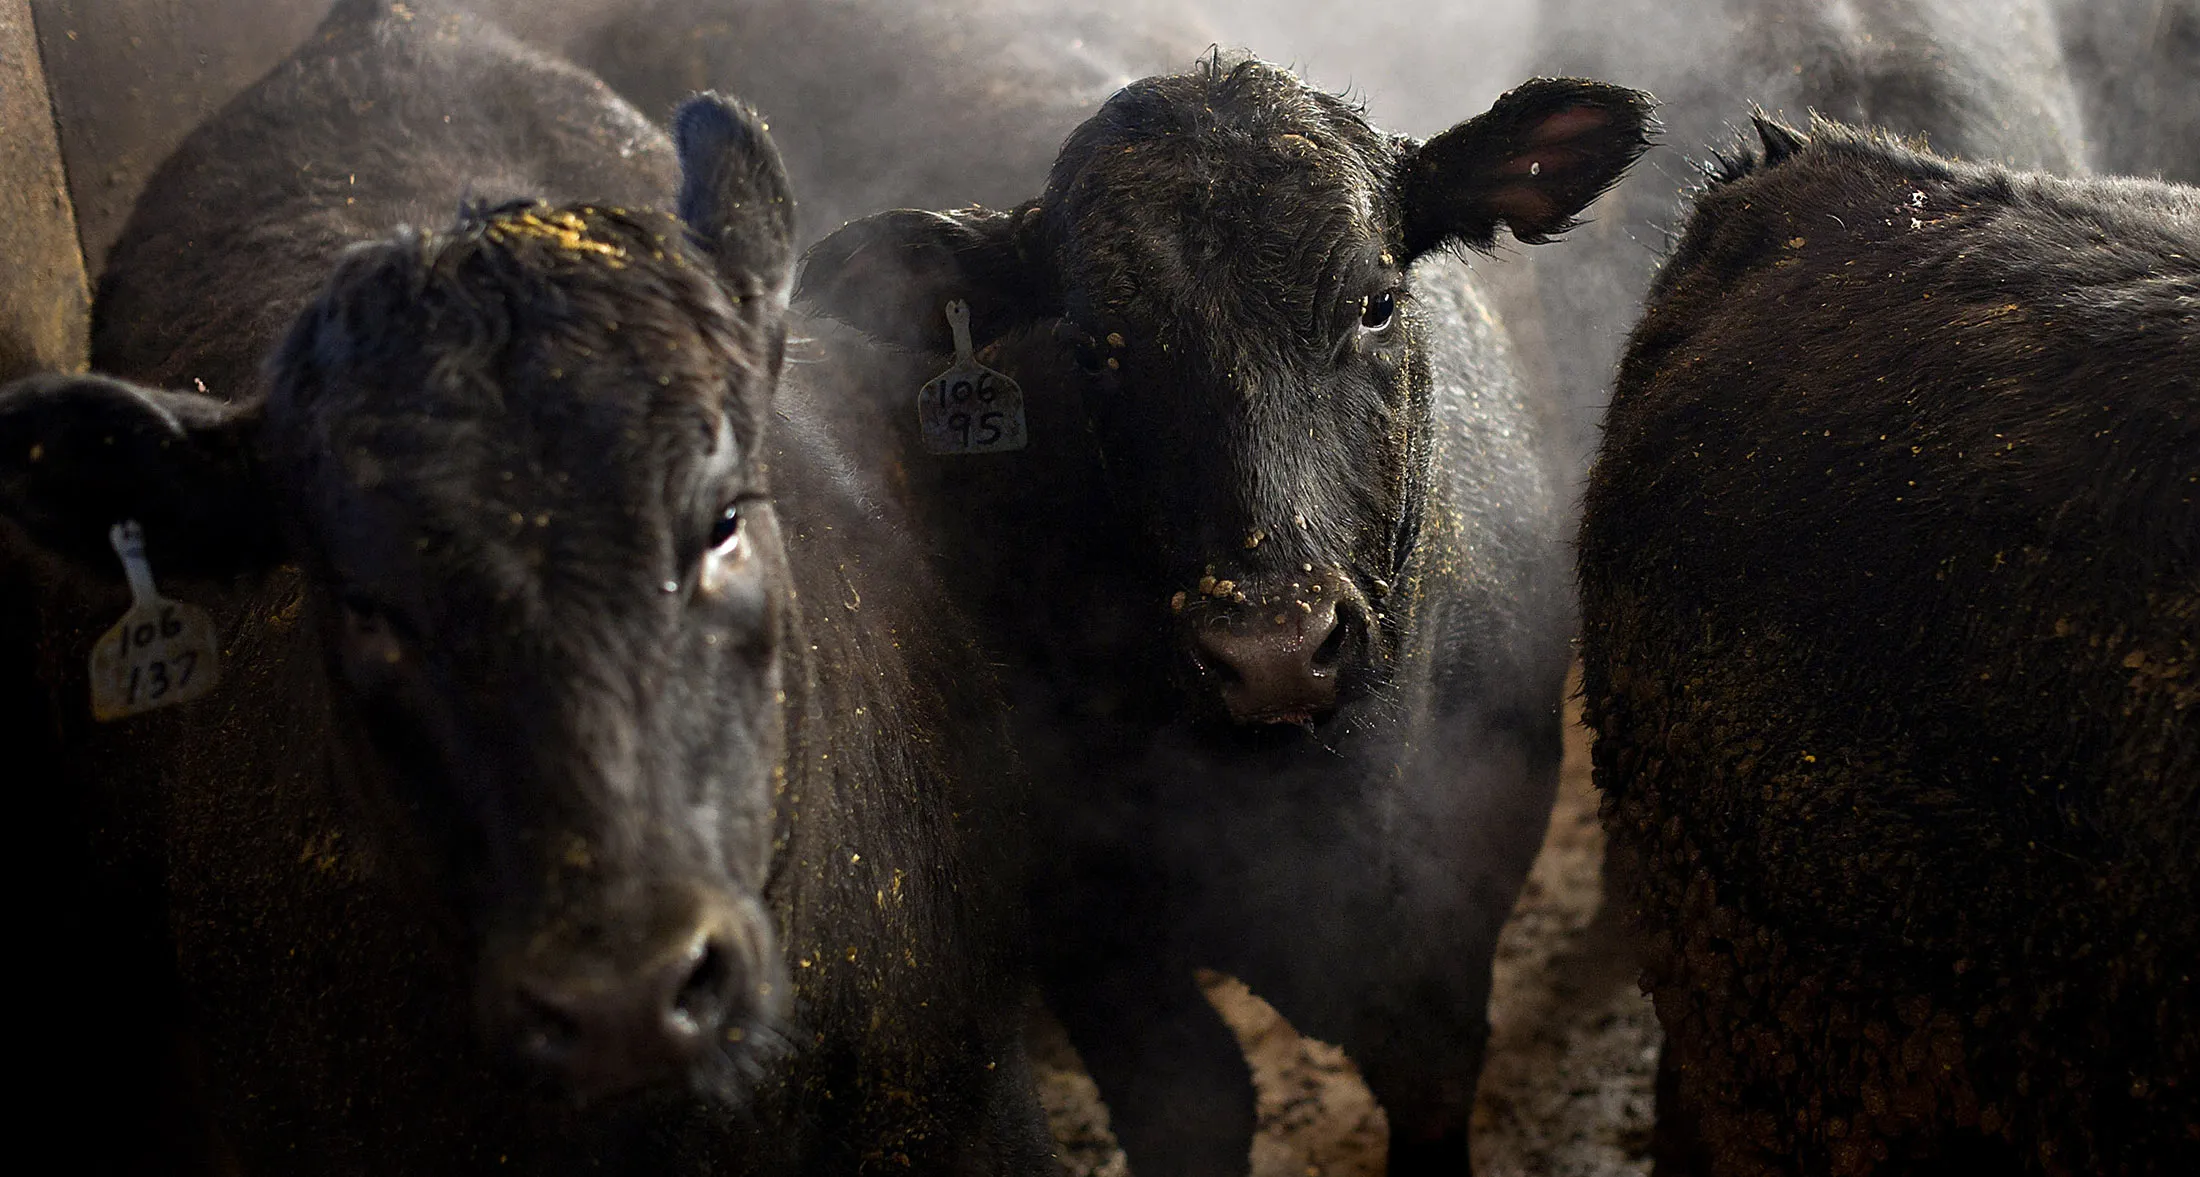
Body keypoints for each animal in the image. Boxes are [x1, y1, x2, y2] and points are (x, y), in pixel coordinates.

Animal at [798, 55, 1653, 1176]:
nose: (1274, 649)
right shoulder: (1085, 924)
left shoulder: (1452, 918)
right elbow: (1195, 1100)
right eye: (1093, 349)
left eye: (1377, 303)